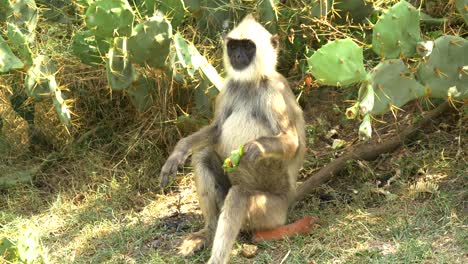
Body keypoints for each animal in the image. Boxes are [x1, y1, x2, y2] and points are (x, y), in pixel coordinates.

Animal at [161, 13, 308, 264]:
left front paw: (255, 147)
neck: (250, 83)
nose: (237, 55)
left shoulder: (273, 91)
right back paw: (209, 231)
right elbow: (216, 129)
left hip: (274, 211)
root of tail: (289, 199)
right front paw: (178, 152)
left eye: (248, 47)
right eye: (234, 46)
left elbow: (291, 141)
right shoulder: (229, 87)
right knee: (202, 156)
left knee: (239, 195)